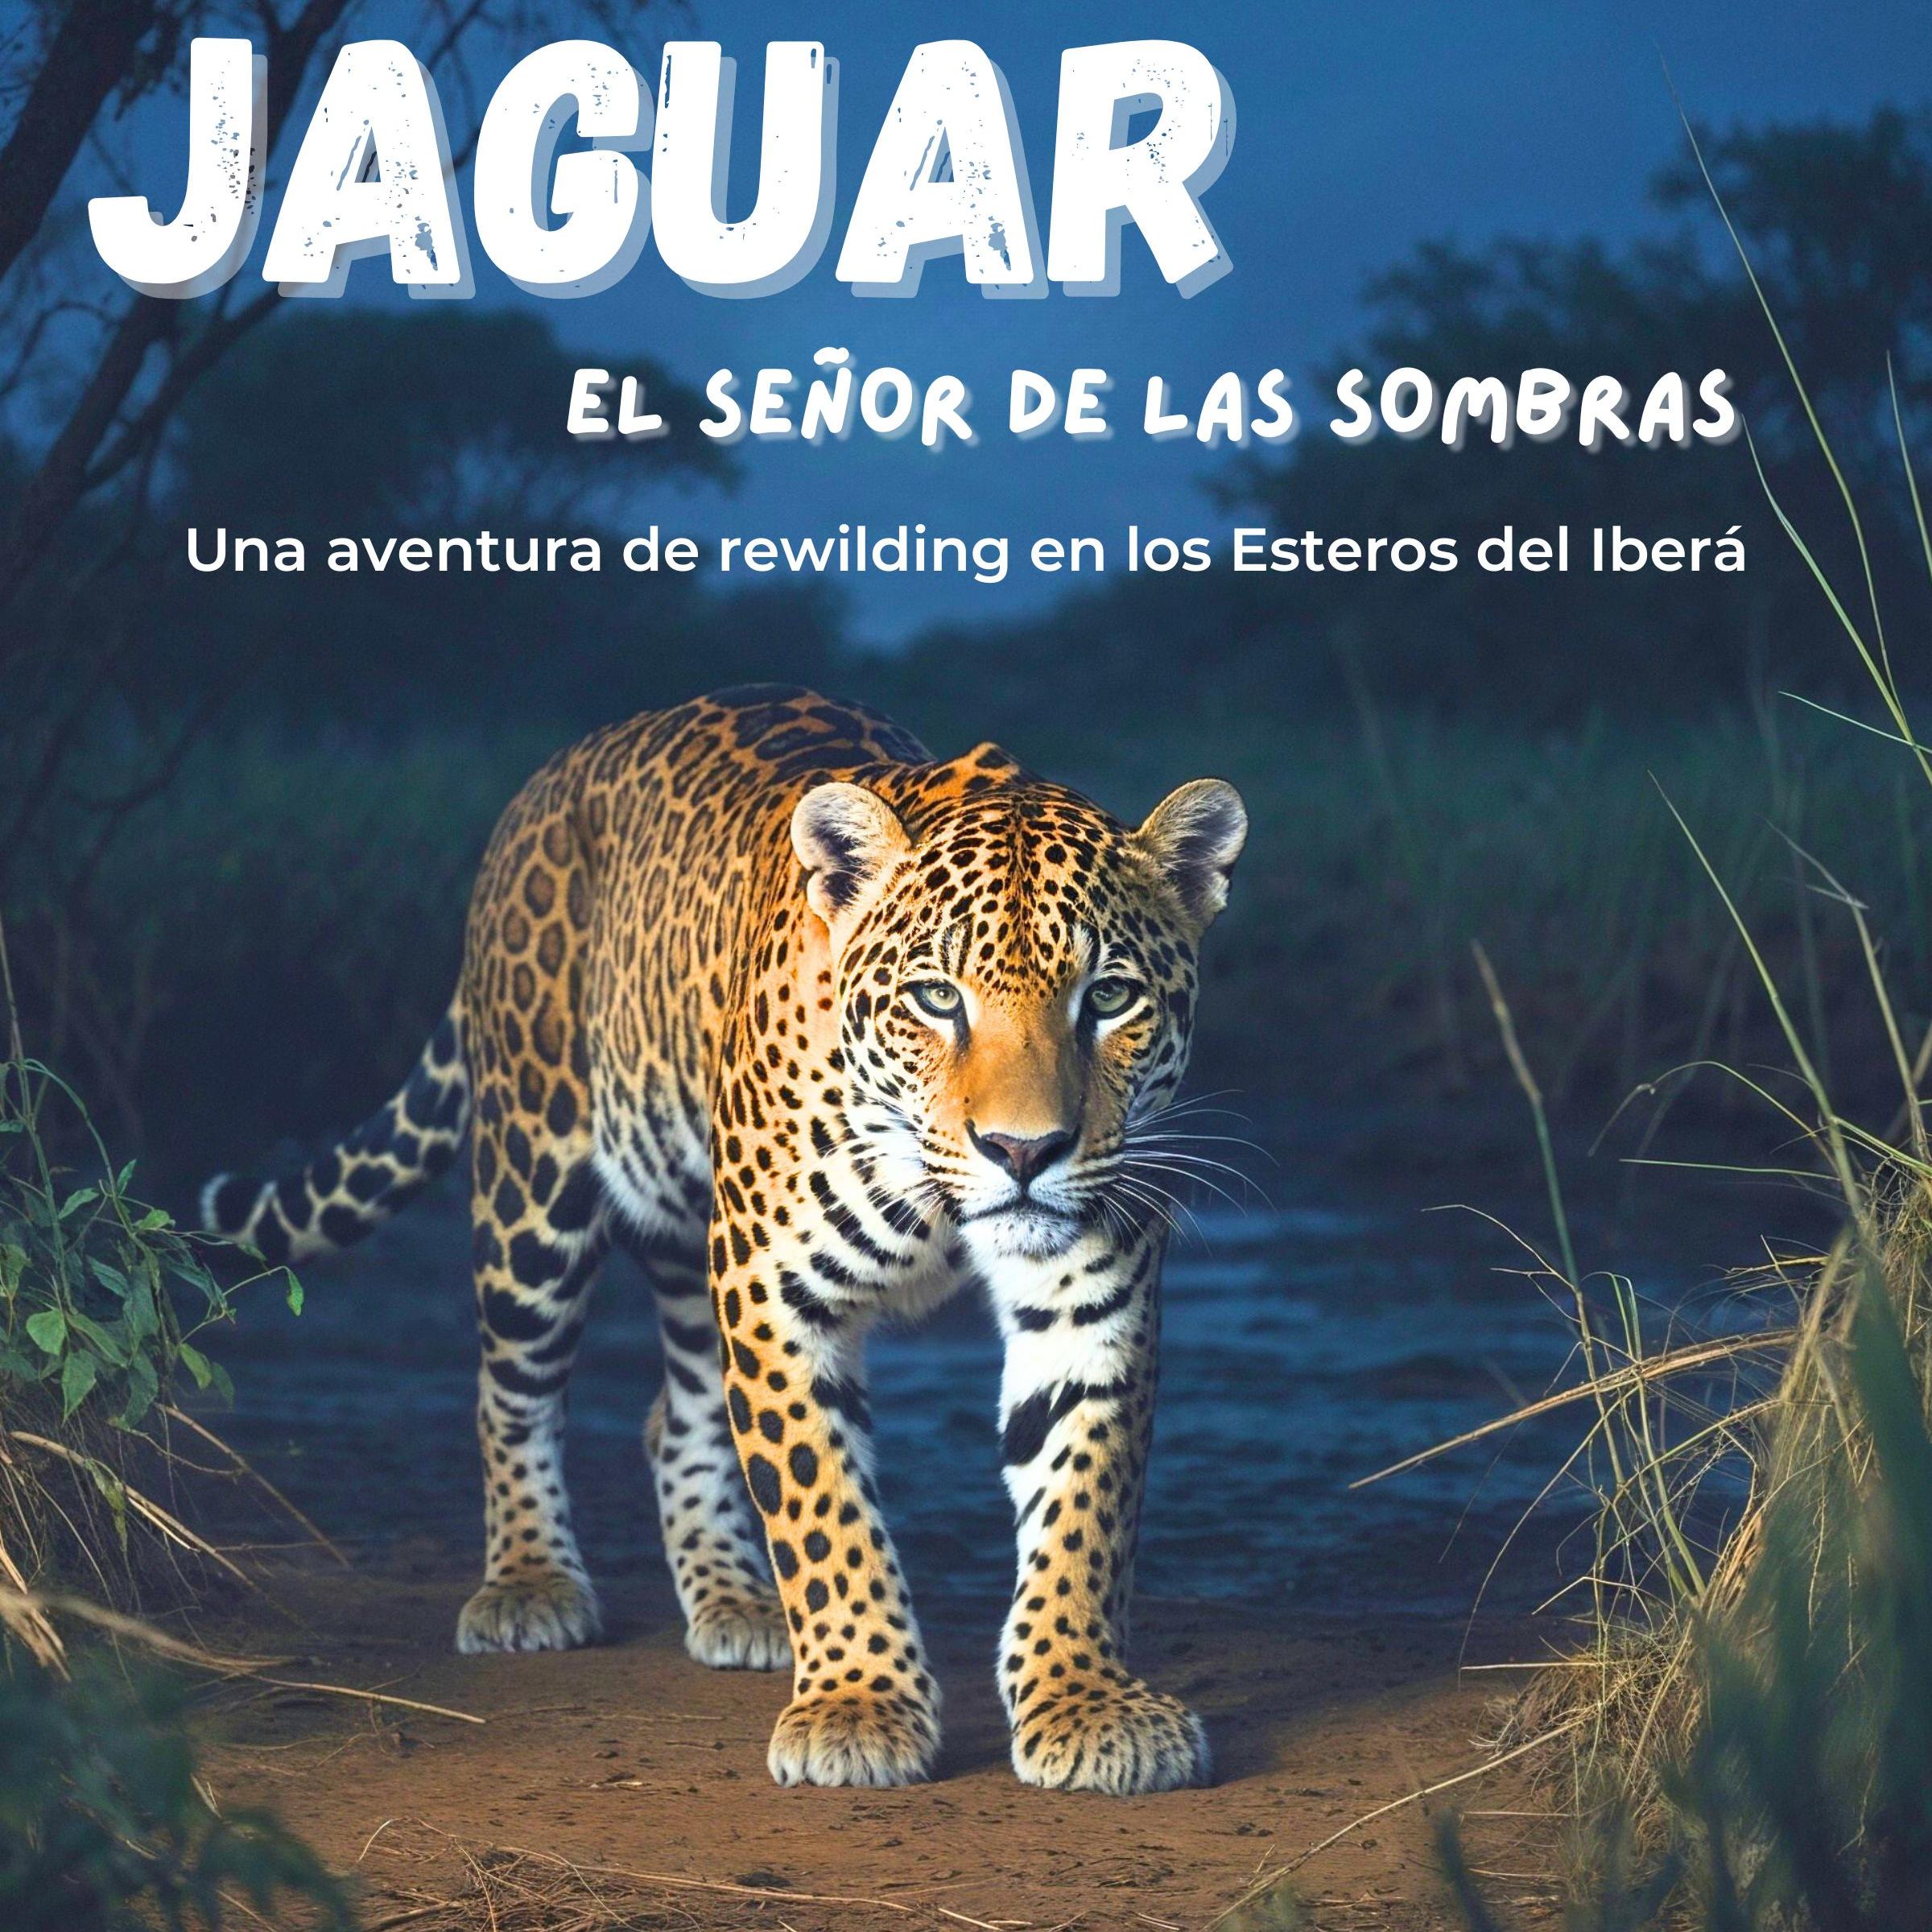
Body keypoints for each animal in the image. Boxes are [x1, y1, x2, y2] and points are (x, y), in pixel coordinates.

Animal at [202, 686, 1247, 1794]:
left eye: (1109, 997)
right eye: (936, 998)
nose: (1023, 1149)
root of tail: (549, 780)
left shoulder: (1090, 1298)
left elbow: (1085, 1504)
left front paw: (1083, 1700)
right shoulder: (776, 1289)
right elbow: (822, 1504)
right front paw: (859, 1706)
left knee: (677, 1414)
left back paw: (737, 1600)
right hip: (536, 1184)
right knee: (511, 1389)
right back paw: (530, 1583)